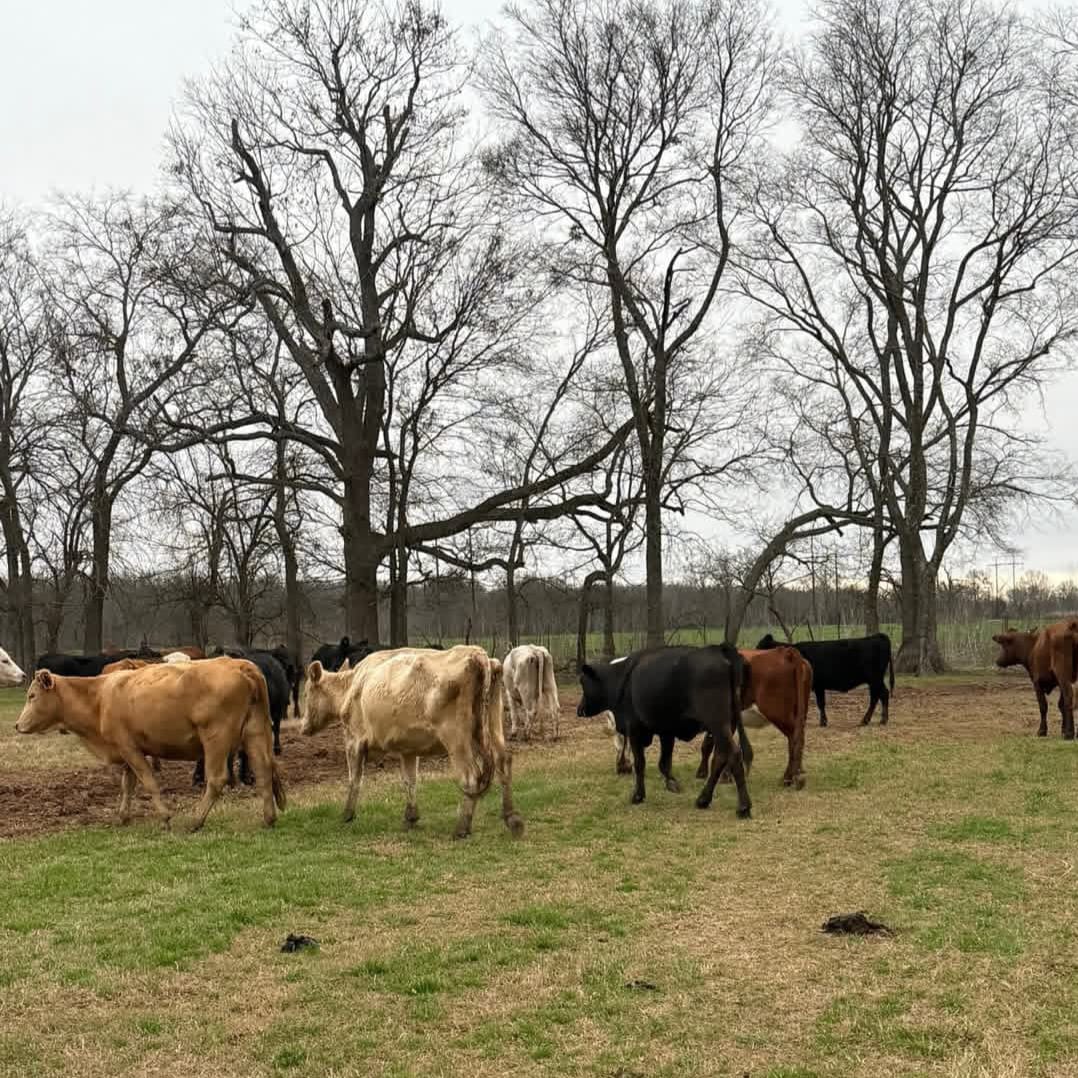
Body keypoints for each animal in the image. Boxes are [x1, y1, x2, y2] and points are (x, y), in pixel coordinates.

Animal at [14, 659, 286, 829]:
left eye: (32, 696)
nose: (17, 725)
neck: (99, 697)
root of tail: (241, 665)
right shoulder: (125, 751)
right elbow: (127, 785)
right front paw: (123, 816)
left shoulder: (130, 749)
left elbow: (148, 782)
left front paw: (165, 817)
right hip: (256, 732)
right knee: (264, 770)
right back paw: (269, 817)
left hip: (215, 739)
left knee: (217, 779)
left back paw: (196, 821)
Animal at [301, 646, 524, 839]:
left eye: (306, 693)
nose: (302, 727)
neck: (353, 685)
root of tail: (478, 655)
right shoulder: (408, 748)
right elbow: (410, 780)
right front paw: (411, 816)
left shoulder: (353, 741)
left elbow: (354, 779)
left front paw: (347, 814)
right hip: (493, 728)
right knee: (503, 763)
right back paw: (512, 819)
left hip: (456, 740)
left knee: (470, 777)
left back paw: (462, 828)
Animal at [578, 645, 752, 819]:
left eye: (583, 683)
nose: (579, 710)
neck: (621, 677)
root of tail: (719, 650)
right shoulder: (666, 732)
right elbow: (665, 762)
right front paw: (672, 783)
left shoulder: (634, 729)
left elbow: (640, 763)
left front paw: (638, 795)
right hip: (726, 726)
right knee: (720, 757)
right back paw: (703, 800)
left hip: (717, 724)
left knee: (733, 754)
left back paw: (743, 807)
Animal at [696, 646, 812, 789]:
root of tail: (786, 652)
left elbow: (709, 744)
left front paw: (704, 773)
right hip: (800, 712)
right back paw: (796, 774)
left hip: (777, 712)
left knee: (794, 738)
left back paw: (789, 778)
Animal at [756, 632, 894, 727]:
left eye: (760, 648)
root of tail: (877, 636)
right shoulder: (817, 686)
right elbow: (816, 703)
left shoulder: (815, 685)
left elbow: (816, 703)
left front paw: (819, 721)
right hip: (873, 680)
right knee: (876, 697)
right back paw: (868, 720)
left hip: (875, 678)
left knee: (883, 694)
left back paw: (881, 720)